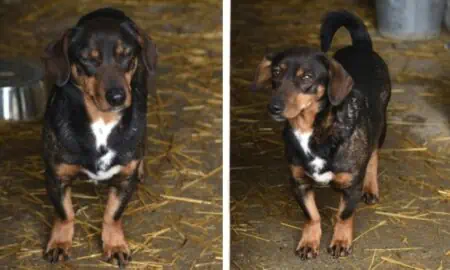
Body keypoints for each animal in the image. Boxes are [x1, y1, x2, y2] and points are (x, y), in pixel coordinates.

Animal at [42, 7, 157, 266]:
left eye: (126, 55)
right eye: (88, 59)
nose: (117, 96)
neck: (102, 123)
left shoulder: (124, 180)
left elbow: (112, 215)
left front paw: (115, 245)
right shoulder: (56, 176)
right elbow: (65, 213)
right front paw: (60, 242)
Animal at [251, 10, 392, 260]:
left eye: (307, 77)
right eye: (276, 73)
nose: (274, 107)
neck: (311, 130)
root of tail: (361, 46)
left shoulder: (351, 186)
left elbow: (344, 215)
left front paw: (341, 242)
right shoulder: (298, 183)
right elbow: (312, 215)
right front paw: (309, 242)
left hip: (381, 124)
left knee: (374, 154)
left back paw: (371, 187)